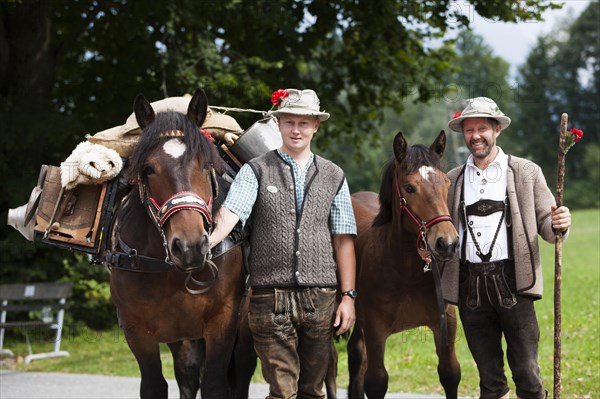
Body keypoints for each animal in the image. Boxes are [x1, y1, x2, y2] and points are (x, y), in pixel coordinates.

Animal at [106, 90, 254, 399]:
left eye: (207, 164)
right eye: (148, 169)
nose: (189, 246)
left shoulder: (224, 321)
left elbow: (215, 384)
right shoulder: (136, 328)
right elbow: (154, 385)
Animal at [344, 132, 462, 399]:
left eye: (446, 184)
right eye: (409, 187)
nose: (447, 243)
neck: (407, 272)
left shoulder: (446, 323)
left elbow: (450, 373)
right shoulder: (376, 328)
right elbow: (376, 382)